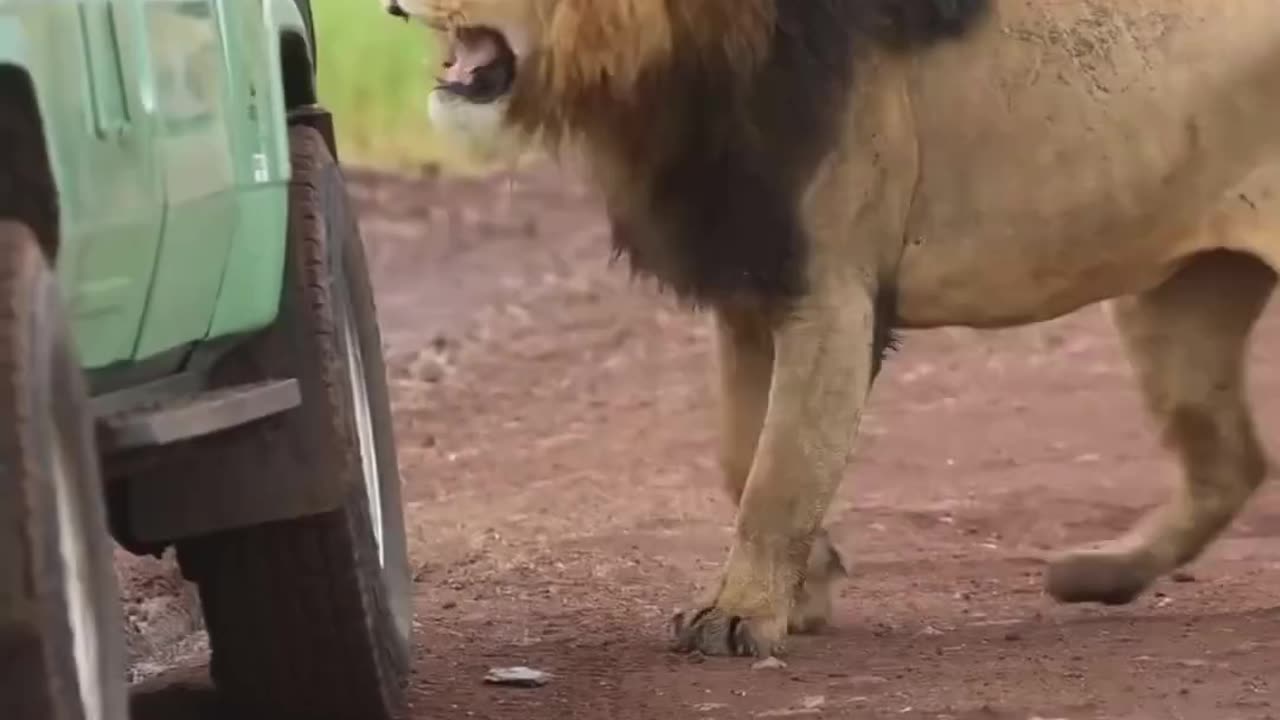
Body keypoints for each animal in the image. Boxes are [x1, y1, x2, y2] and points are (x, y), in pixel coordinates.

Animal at [384, 0, 1280, 655]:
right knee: (1230, 463)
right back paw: (1101, 577)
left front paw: (740, 615)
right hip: (1177, 301)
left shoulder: (833, 293)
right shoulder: (752, 294)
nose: (389, 1)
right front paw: (809, 583)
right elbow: (745, 455)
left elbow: (779, 470)